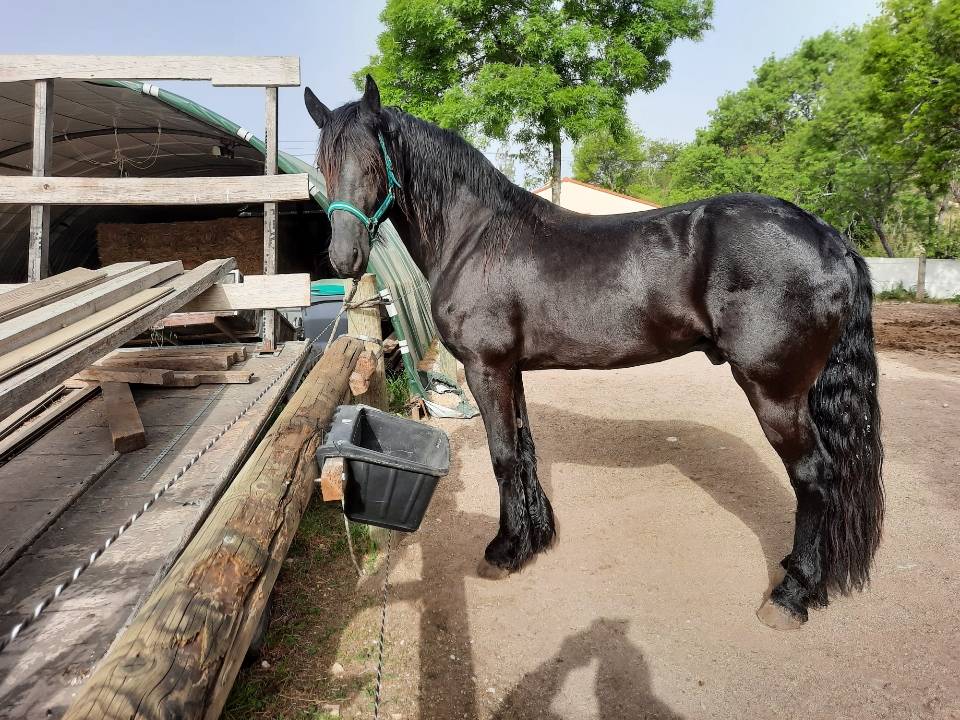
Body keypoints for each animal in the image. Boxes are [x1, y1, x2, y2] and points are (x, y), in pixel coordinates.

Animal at [304, 76, 883, 629]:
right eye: (323, 165)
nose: (344, 257)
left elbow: (503, 456)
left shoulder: (485, 368)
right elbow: (524, 451)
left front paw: (504, 550)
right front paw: (535, 538)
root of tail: (828, 237)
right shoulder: (509, 370)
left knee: (813, 476)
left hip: (774, 392)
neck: (476, 237)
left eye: (373, 160)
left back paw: (790, 595)